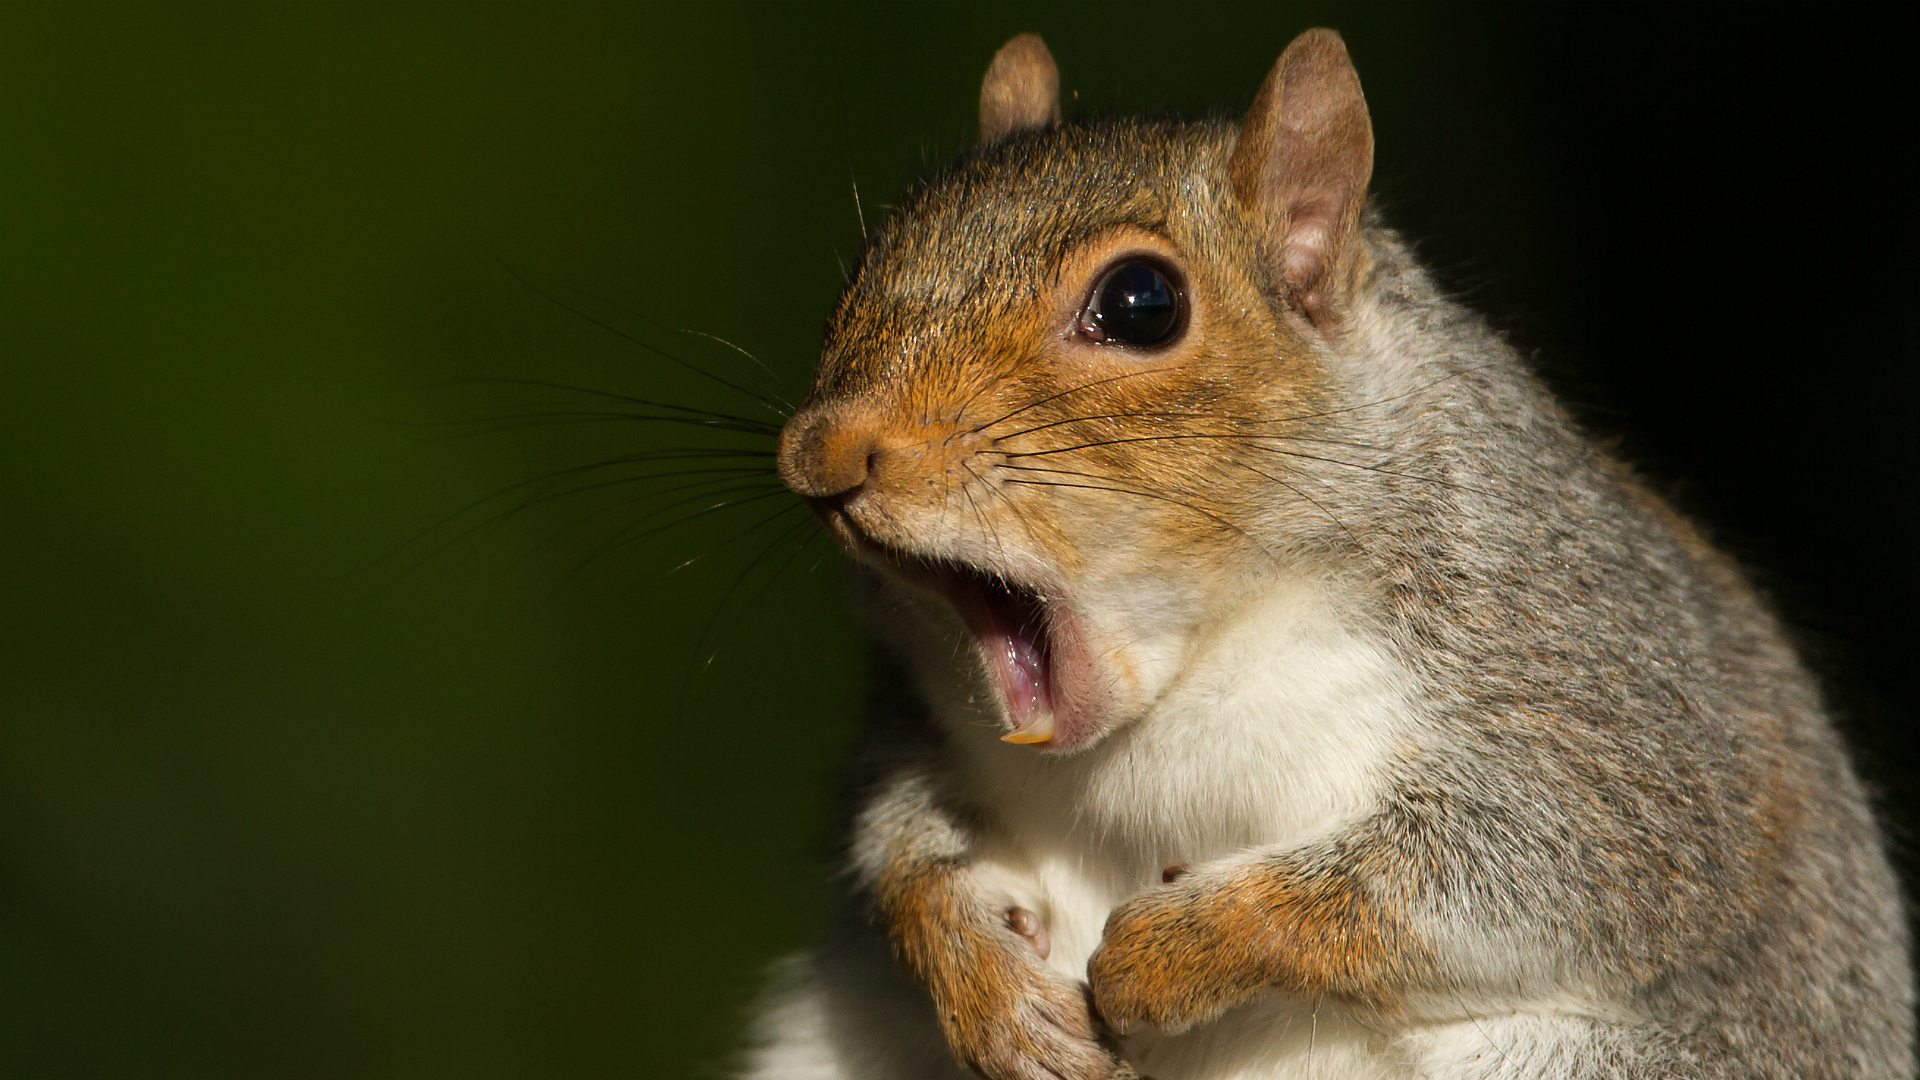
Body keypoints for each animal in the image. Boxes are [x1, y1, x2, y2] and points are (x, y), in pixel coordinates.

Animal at [729, 27, 1904, 1076]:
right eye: (873, 256)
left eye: (1142, 303)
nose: (820, 452)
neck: (1181, 685)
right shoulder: (916, 719)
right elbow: (900, 845)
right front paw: (985, 982)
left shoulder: (1597, 703)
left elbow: (1518, 874)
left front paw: (1172, 952)